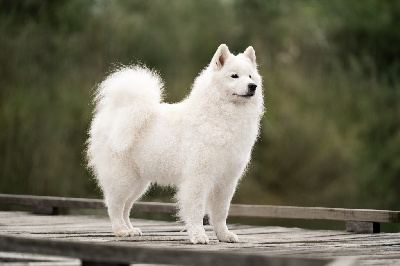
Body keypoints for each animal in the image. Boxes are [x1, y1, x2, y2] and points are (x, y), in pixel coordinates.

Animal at [86, 44, 264, 245]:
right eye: (234, 76)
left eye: (250, 76)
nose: (253, 86)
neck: (221, 117)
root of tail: (115, 110)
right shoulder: (197, 177)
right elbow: (196, 210)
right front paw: (198, 236)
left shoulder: (226, 180)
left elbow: (220, 213)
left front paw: (224, 235)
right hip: (122, 177)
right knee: (115, 206)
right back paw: (121, 230)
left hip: (138, 182)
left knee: (126, 206)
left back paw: (131, 229)